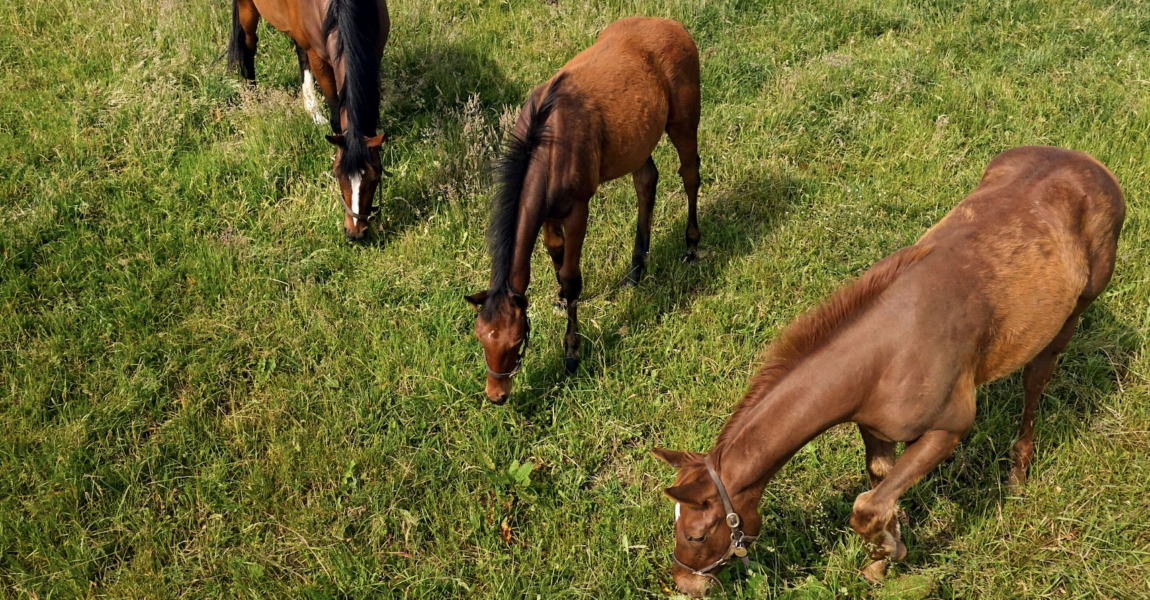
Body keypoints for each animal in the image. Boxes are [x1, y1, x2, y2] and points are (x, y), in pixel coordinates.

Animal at [227, 0, 391, 237]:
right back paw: (253, 98)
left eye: (374, 179)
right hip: (247, 8)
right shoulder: (319, 60)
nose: (354, 233)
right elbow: (335, 113)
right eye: (337, 176)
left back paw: (311, 108)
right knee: (249, 43)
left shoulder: (374, 50)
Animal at [464, 16, 699, 404]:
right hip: (638, 140)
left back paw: (692, 245)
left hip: (683, 121)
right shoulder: (546, 212)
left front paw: (571, 352)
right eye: (481, 338)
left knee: (690, 173)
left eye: (516, 341)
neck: (548, 139)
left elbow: (572, 279)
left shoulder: (577, 210)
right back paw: (636, 270)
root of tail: (671, 24)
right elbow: (555, 255)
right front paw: (560, 302)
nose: (496, 394)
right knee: (646, 182)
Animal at [657, 144, 1122, 593]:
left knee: (1036, 380)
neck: (884, 358)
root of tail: (1089, 165)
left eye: (696, 534)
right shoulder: (875, 429)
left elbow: (866, 506)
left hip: (1071, 315)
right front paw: (883, 557)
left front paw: (890, 554)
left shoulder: (949, 428)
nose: (684, 582)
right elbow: (880, 492)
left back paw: (1017, 474)